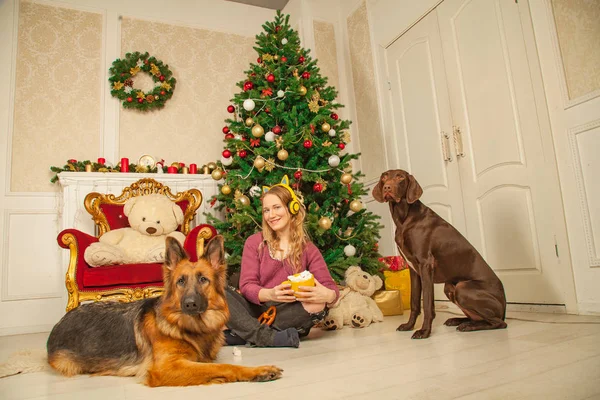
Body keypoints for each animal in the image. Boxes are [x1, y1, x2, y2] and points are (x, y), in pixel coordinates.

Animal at [46, 236, 282, 386]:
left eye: (203, 279)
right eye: (180, 281)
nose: (189, 304)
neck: (190, 327)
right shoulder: (167, 368)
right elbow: (222, 367)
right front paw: (257, 371)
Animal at [376, 169, 506, 338]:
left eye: (400, 177)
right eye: (384, 177)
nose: (387, 187)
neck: (404, 218)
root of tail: (505, 308)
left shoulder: (425, 264)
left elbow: (427, 305)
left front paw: (424, 331)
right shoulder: (414, 270)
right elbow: (414, 302)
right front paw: (409, 325)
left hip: (462, 287)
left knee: (499, 323)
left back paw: (469, 326)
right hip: (449, 286)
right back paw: (459, 321)